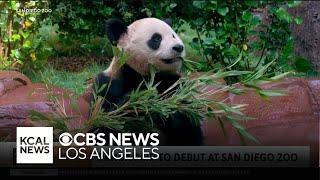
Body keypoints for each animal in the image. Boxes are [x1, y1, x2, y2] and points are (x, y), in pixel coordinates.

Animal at [92, 17, 202, 146]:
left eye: (173, 35)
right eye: (156, 38)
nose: (179, 47)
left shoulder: (175, 84)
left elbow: (189, 129)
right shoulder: (109, 84)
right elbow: (104, 126)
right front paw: (140, 100)